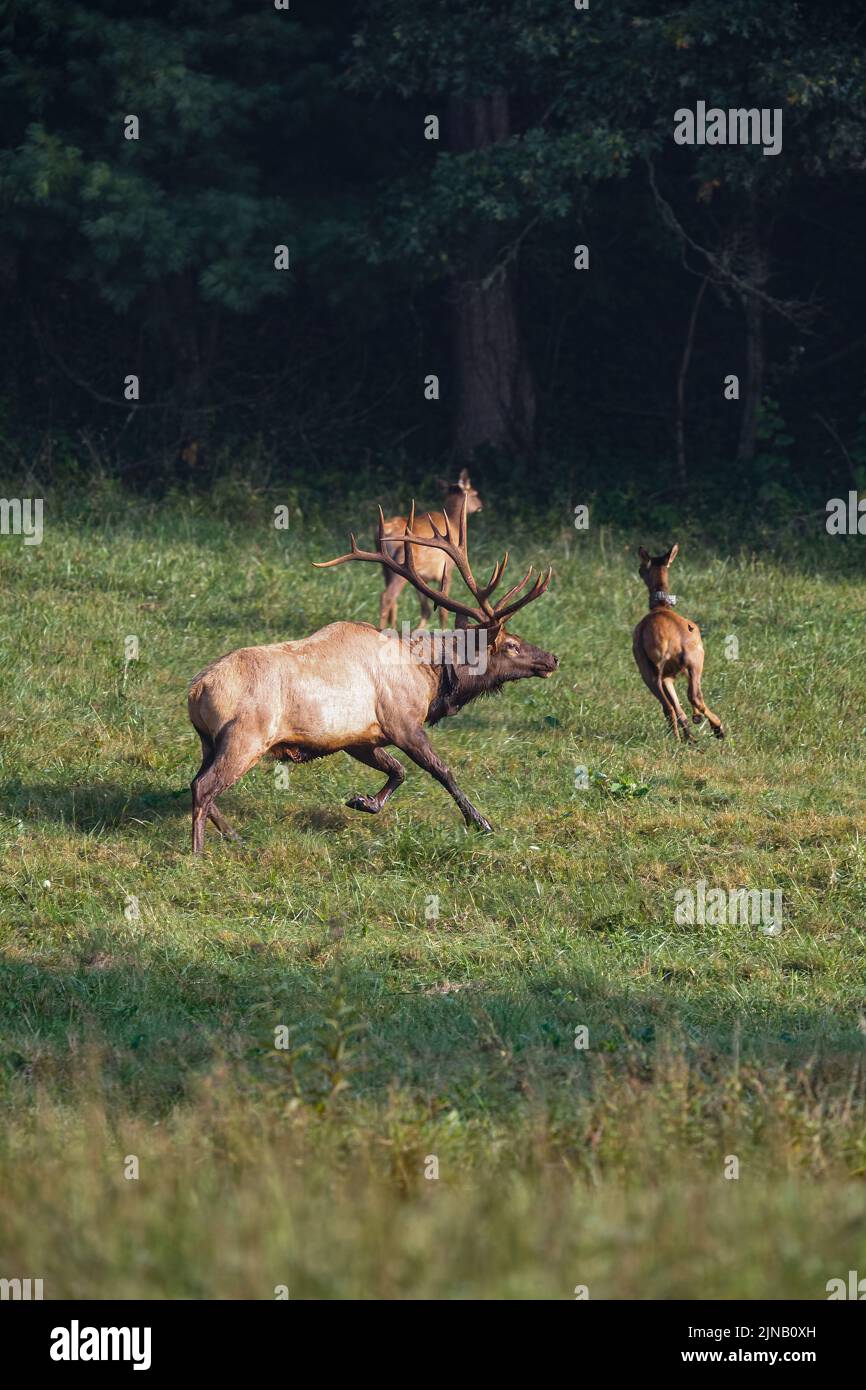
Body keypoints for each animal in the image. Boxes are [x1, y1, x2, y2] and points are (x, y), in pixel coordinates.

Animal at [186, 494, 558, 850]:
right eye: (511, 644)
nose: (552, 658)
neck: (431, 680)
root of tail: (195, 691)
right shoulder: (402, 722)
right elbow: (441, 771)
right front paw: (481, 822)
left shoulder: (358, 738)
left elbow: (398, 771)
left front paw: (362, 801)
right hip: (245, 737)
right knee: (204, 787)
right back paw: (198, 853)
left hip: (208, 740)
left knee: (195, 783)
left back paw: (235, 837)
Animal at [378, 467, 483, 631]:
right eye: (475, 493)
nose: (481, 505)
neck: (453, 524)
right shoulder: (447, 569)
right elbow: (442, 610)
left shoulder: (423, 577)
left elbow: (426, 610)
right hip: (402, 565)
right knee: (387, 596)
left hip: (387, 569)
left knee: (394, 601)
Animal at [631, 542, 722, 739]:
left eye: (642, 568)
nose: (638, 570)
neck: (660, 607)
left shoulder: (664, 675)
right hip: (693, 661)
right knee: (692, 697)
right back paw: (714, 728)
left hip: (650, 671)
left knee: (670, 707)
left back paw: (684, 737)